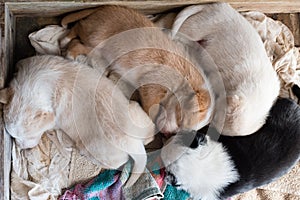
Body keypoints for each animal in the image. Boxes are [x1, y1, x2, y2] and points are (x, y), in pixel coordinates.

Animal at [0, 55, 155, 188]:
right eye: (14, 136)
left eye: (30, 136)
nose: (22, 147)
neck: (36, 82)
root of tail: (134, 144)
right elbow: (22, 62)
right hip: (136, 109)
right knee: (149, 136)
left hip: (91, 149)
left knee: (117, 162)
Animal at [59, 5, 213, 136]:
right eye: (180, 119)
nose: (166, 134)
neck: (184, 78)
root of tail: (105, 7)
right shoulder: (152, 85)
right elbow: (152, 108)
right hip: (96, 34)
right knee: (78, 26)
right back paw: (65, 40)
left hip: (94, 47)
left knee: (77, 43)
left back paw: (69, 49)